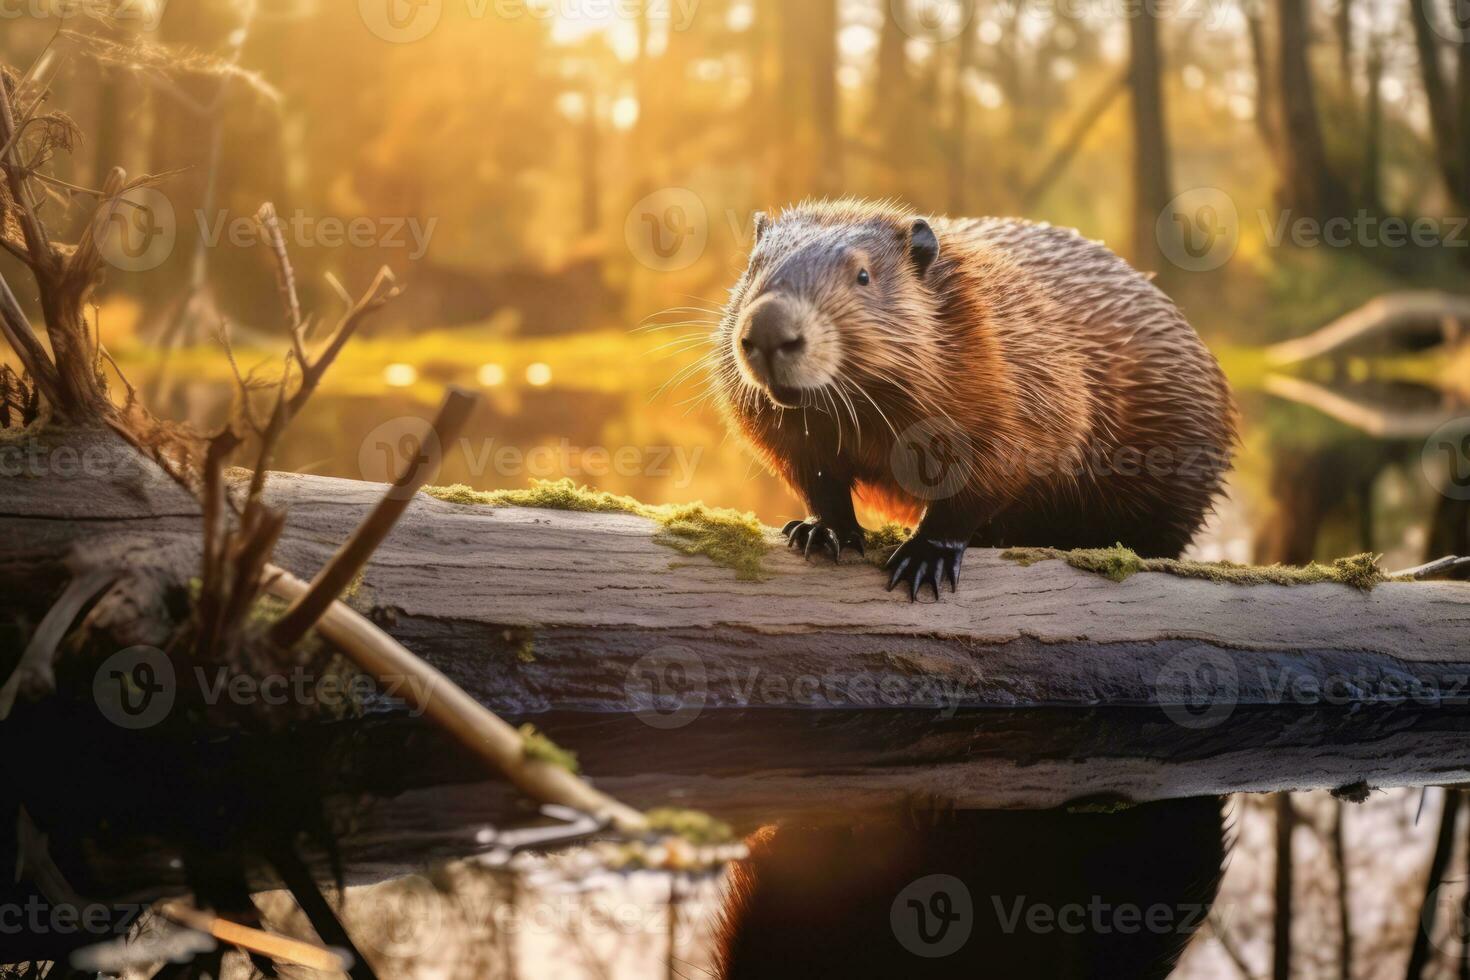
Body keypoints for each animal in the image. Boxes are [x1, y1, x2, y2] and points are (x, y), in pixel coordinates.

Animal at [717, 198, 1234, 599]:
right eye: (752, 266)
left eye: (862, 275)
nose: (768, 331)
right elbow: (813, 472)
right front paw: (820, 529)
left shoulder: (1025, 370)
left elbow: (997, 470)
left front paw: (924, 558)